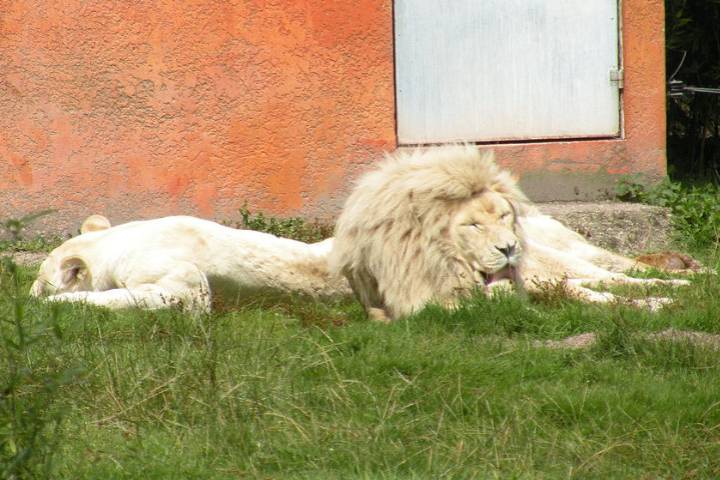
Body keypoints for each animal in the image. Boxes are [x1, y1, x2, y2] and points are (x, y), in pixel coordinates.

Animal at [329, 145, 690, 321]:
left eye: (505, 216)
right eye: (473, 225)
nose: (509, 248)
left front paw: (658, 302)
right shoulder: (421, 304)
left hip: (561, 263)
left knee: (620, 275)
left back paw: (683, 284)